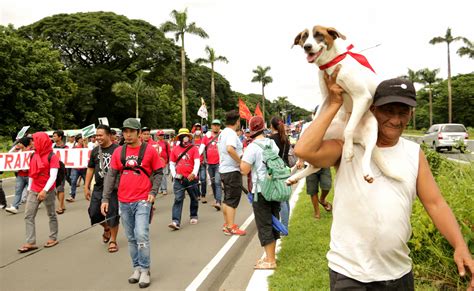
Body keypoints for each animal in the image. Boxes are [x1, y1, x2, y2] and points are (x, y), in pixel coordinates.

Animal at [286, 25, 402, 185]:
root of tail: (358, 139)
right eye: (304, 37)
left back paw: (365, 170)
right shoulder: (326, 98)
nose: (306, 47)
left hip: (372, 128)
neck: (331, 63)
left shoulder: (362, 97)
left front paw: (348, 151)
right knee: (314, 164)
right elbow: (315, 119)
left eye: (318, 34)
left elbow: (349, 129)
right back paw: (294, 174)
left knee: (366, 152)